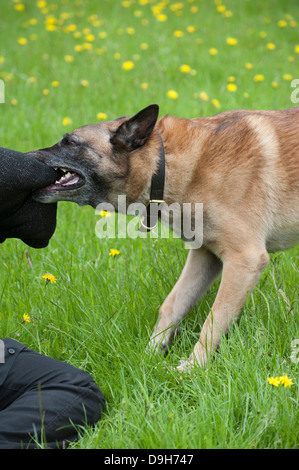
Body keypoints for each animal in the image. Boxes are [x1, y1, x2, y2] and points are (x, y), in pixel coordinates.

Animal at [32, 103, 299, 370]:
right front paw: (150, 355)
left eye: (69, 142)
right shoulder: (206, 255)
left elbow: (213, 320)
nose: (28, 157)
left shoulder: (245, 260)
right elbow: (172, 304)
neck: (164, 164)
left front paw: (193, 369)